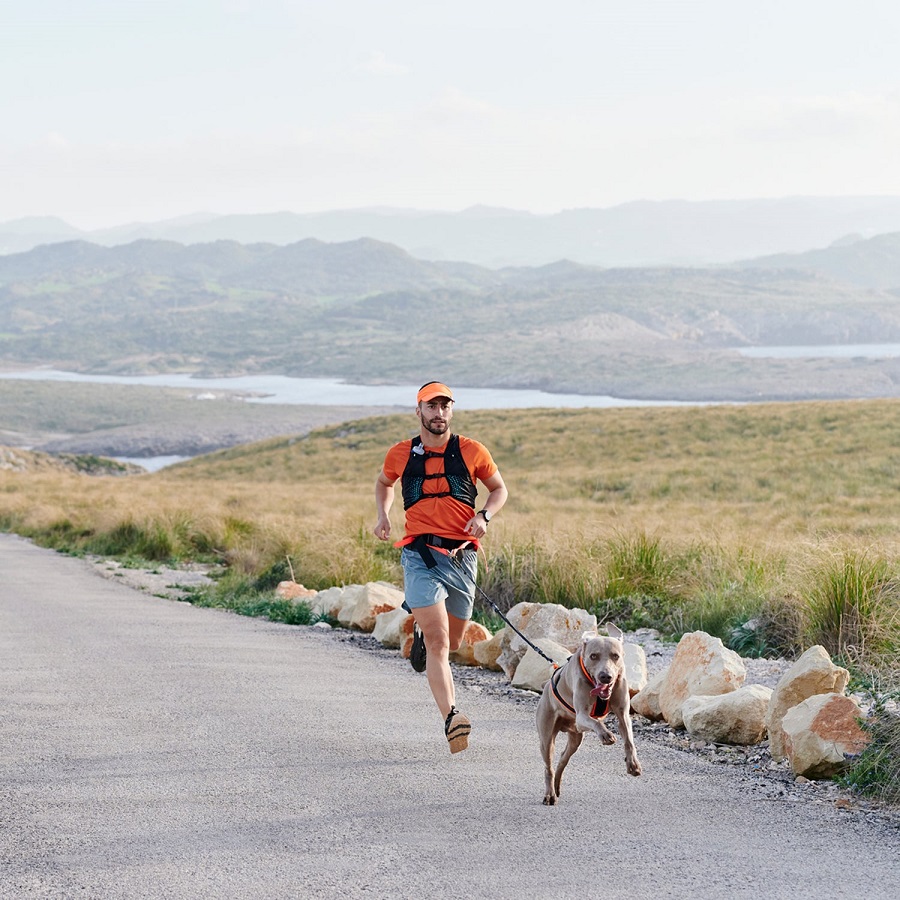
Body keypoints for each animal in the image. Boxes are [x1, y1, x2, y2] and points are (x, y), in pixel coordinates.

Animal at [536, 624, 640, 804]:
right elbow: (596, 722)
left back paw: (557, 785)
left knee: (562, 759)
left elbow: (628, 739)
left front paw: (633, 763)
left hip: (575, 738)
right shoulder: (581, 716)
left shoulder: (623, 714)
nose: (606, 676)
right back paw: (550, 794)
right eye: (593, 656)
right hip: (547, 736)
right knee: (548, 766)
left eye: (615, 656)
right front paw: (605, 734)